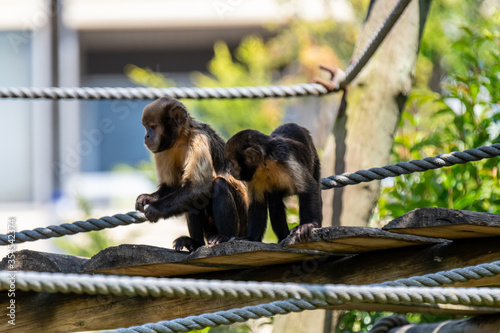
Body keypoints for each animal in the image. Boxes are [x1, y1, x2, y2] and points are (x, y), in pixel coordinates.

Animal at [136, 97, 247, 250]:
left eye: (152, 126)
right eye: (146, 127)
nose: (147, 136)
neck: (181, 138)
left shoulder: (199, 138)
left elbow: (198, 188)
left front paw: (155, 209)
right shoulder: (164, 149)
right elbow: (174, 187)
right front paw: (148, 198)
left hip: (243, 223)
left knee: (219, 185)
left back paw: (224, 237)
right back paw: (195, 244)